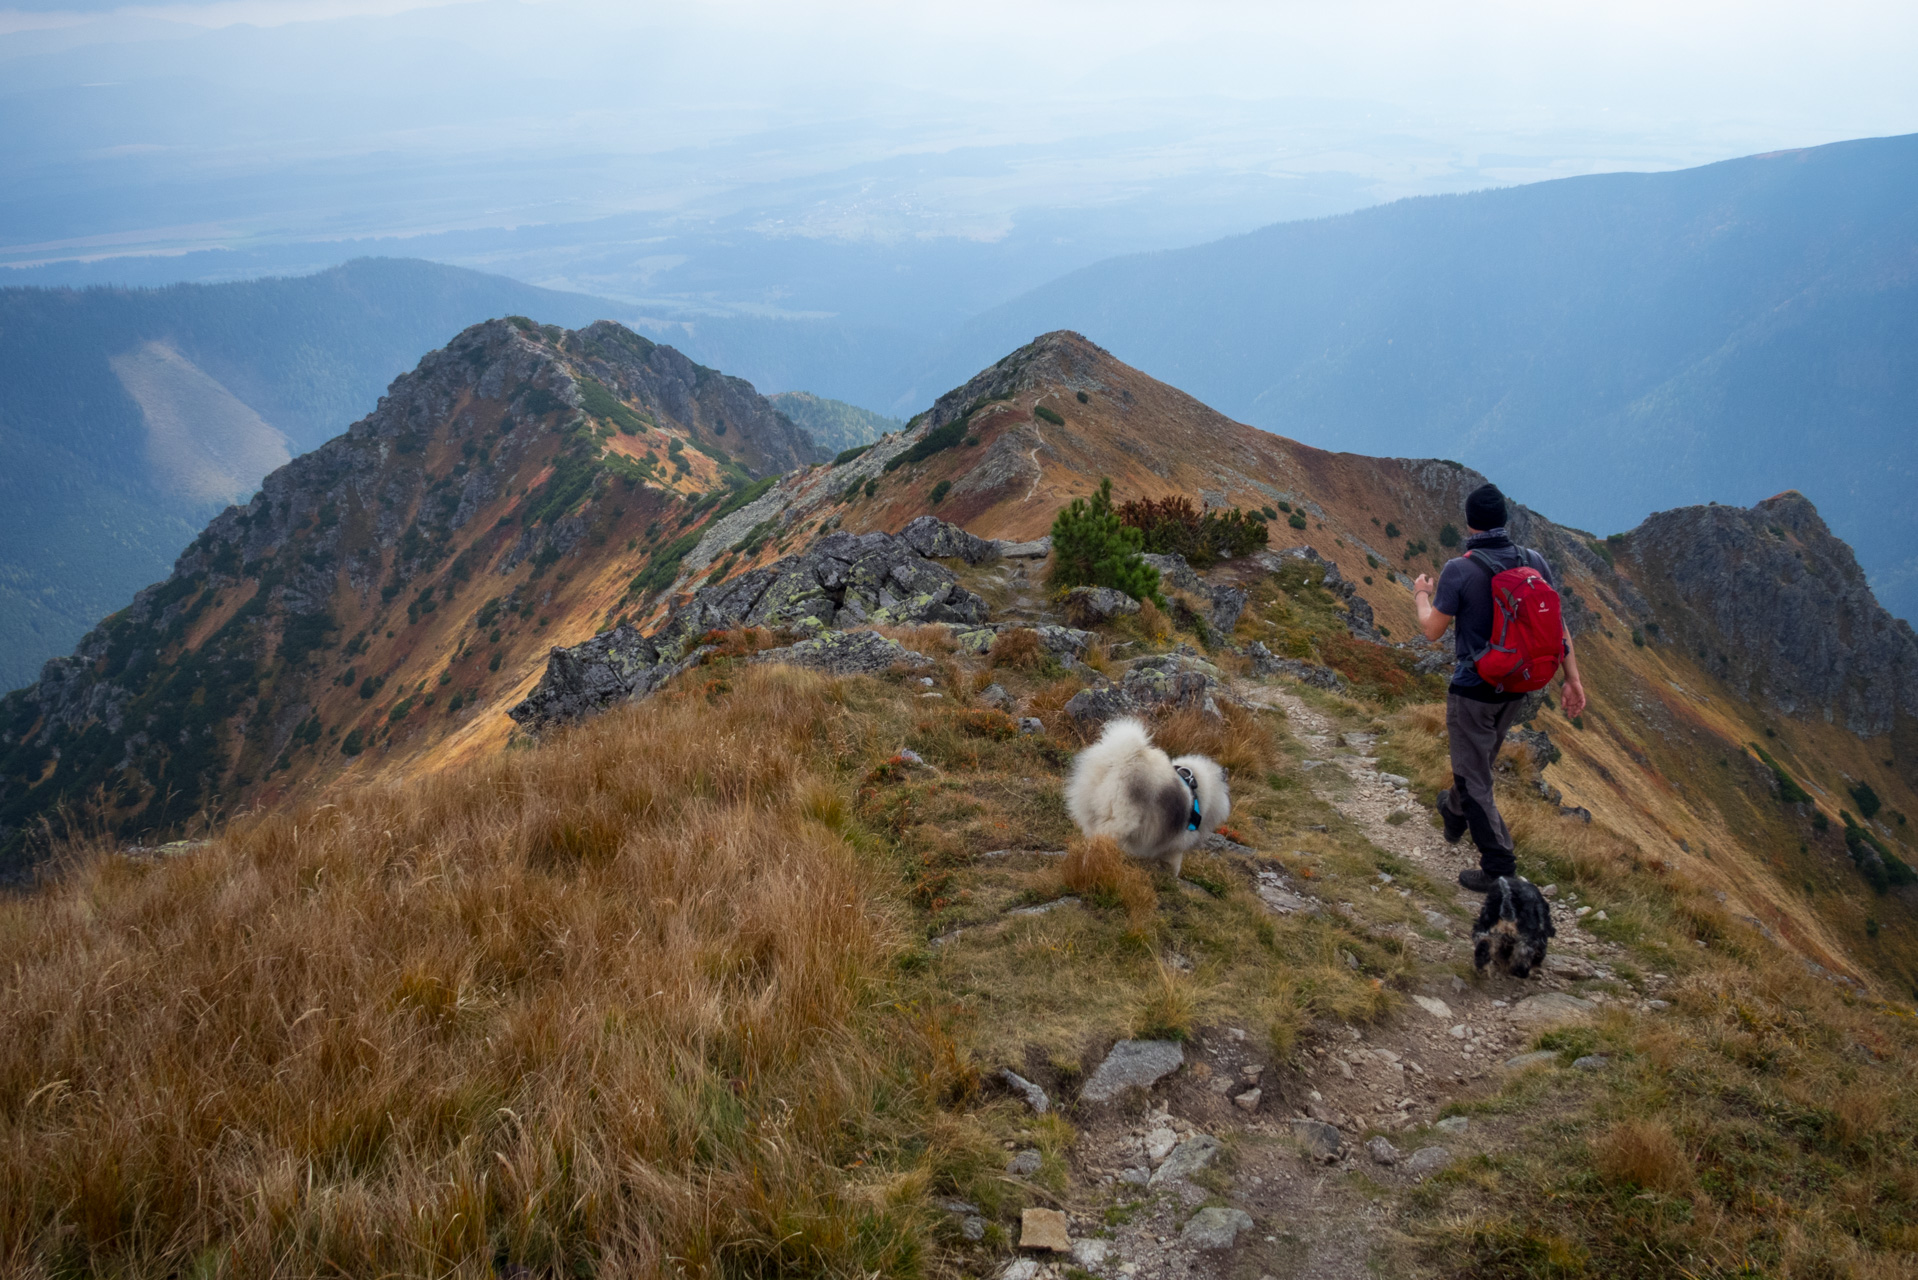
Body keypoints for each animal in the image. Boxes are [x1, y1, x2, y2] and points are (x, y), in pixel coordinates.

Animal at [1066, 717, 1227, 875]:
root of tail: (1121, 760)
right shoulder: (1178, 842)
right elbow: (1174, 862)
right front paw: (1171, 877)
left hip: (1092, 811)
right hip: (1122, 820)